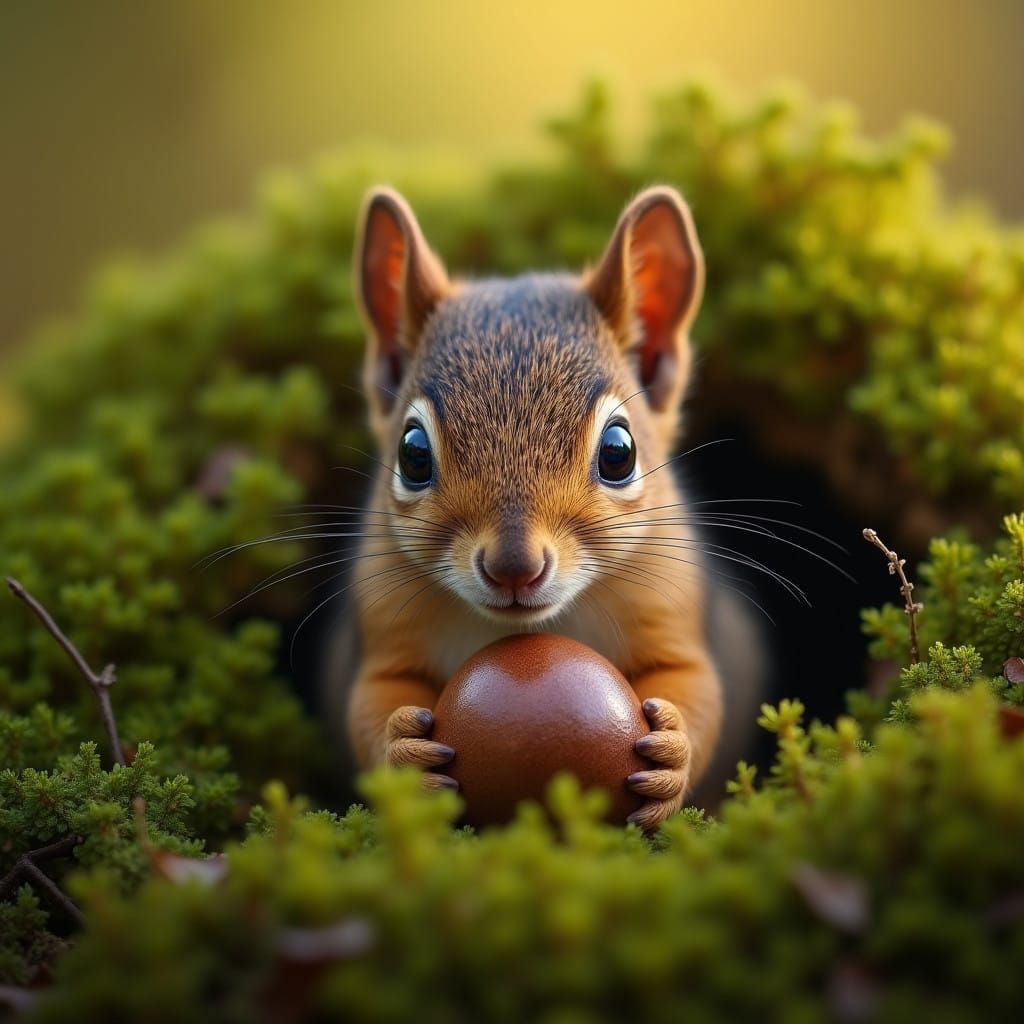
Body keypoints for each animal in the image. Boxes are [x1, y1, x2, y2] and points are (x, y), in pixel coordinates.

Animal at [328, 184, 764, 831]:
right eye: (412, 454)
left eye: (619, 452)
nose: (515, 567)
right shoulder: (383, 621)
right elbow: (369, 701)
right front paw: (403, 750)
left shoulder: (672, 606)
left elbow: (697, 687)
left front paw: (673, 754)